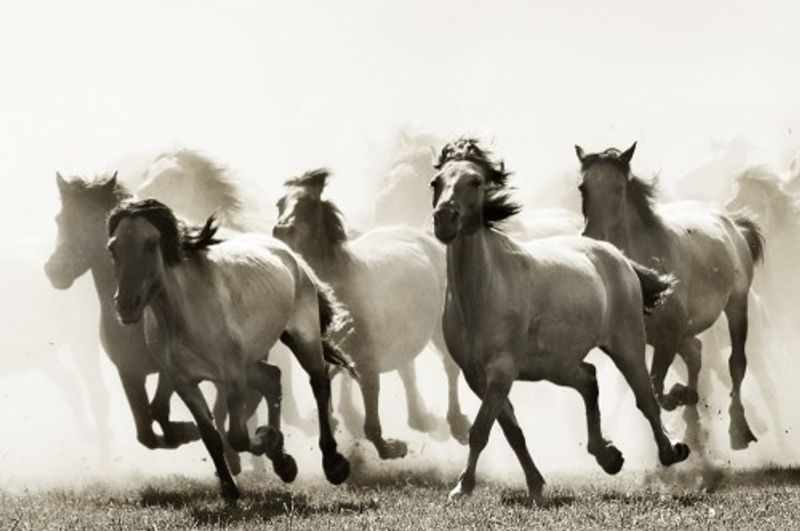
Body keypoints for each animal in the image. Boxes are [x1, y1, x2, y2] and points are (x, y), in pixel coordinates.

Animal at [106, 198, 352, 500]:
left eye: (151, 243)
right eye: (113, 247)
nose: (126, 305)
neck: (182, 315)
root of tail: (291, 256)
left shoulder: (232, 375)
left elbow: (237, 436)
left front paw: (266, 437)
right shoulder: (183, 382)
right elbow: (211, 435)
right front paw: (230, 487)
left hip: (302, 337)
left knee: (318, 383)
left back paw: (333, 464)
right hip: (250, 361)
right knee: (273, 379)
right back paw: (283, 464)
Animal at [273, 168, 471, 459]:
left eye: (308, 205)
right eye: (280, 204)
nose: (281, 231)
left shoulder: (367, 362)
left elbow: (370, 419)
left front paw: (389, 448)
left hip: (437, 328)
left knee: (449, 367)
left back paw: (456, 424)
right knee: (406, 368)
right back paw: (420, 419)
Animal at [430, 138, 689, 503]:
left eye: (476, 181)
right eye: (436, 183)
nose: (444, 219)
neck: (481, 293)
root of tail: (618, 256)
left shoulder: (502, 370)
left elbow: (481, 430)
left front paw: (461, 487)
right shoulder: (476, 377)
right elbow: (512, 432)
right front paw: (535, 485)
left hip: (626, 345)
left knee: (646, 398)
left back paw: (670, 451)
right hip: (557, 365)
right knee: (589, 379)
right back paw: (608, 456)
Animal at [575, 142, 765, 451]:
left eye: (618, 187)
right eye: (583, 187)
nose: (593, 237)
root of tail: (732, 223)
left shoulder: (668, 336)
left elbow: (657, 388)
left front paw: (680, 397)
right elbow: (654, 388)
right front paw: (684, 398)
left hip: (737, 305)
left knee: (736, 363)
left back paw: (739, 431)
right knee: (696, 353)